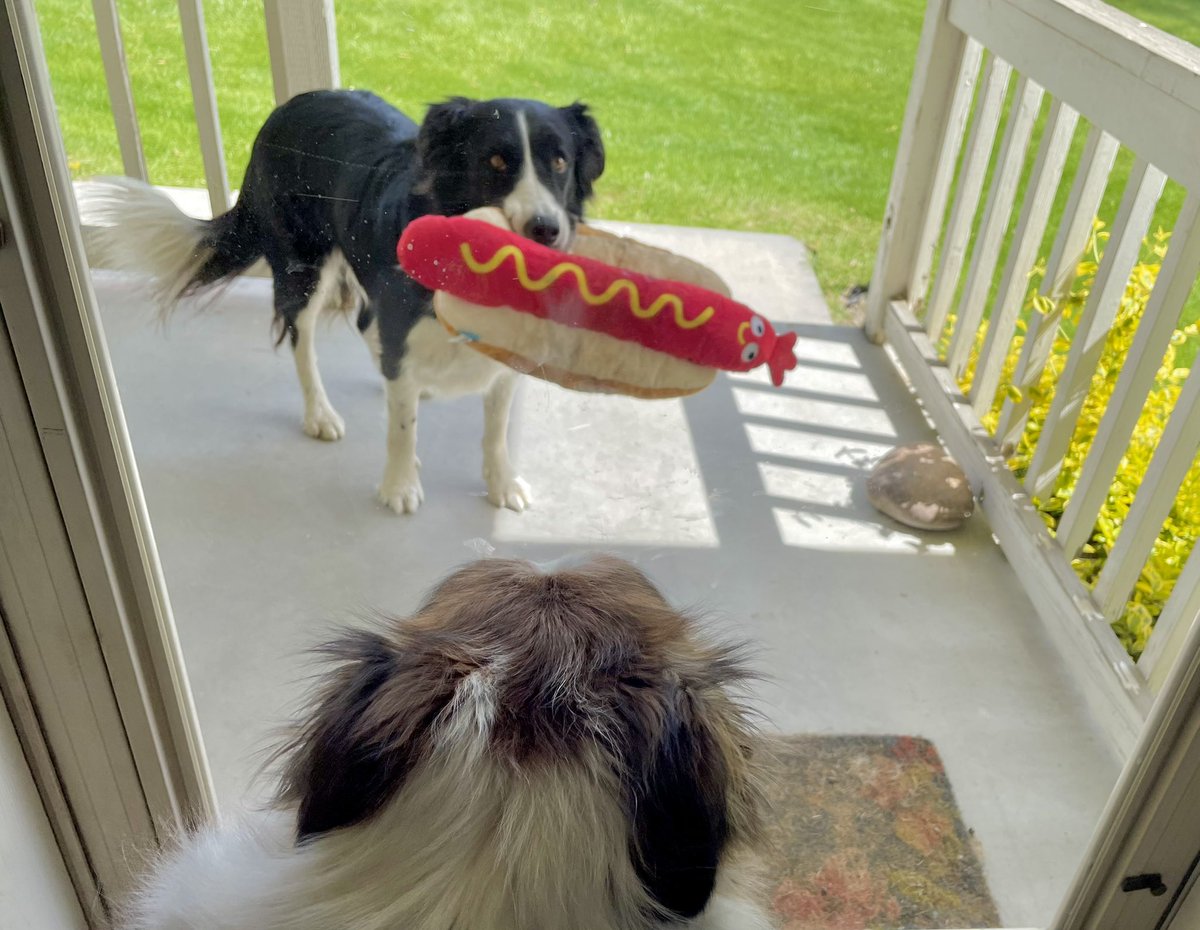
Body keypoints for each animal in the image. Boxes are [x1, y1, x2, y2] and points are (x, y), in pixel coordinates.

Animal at [83, 93, 604, 516]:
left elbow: (496, 430)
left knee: (366, 326)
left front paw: (502, 486)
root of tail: (282, 111)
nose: (546, 229)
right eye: (495, 161)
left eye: (560, 163)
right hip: (304, 269)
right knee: (302, 343)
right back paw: (321, 414)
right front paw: (400, 486)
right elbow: (402, 427)